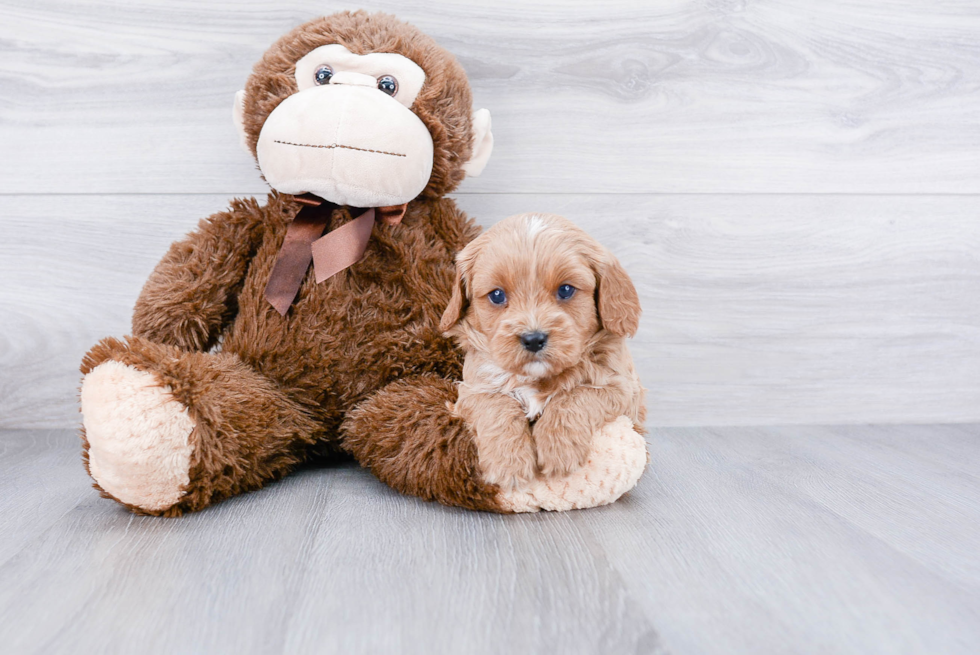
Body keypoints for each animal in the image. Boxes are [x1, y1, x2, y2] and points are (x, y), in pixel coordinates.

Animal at [440, 213, 648, 490]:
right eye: (497, 295)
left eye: (566, 290)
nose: (533, 339)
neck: (536, 378)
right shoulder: (473, 389)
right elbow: (496, 405)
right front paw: (508, 463)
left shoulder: (624, 391)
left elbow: (576, 396)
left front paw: (559, 450)